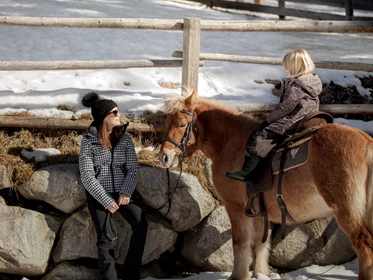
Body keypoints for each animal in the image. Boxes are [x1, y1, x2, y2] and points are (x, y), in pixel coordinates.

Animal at [158, 88, 373, 278]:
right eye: (167, 122)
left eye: (182, 124)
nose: (164, 157)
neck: (232, 143)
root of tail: (367, 143)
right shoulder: (260, 211)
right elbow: (261, 243)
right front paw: (260, 274)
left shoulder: (235, 207)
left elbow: (240, 243)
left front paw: (238, 276)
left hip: (348, 212)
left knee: (365, 250)